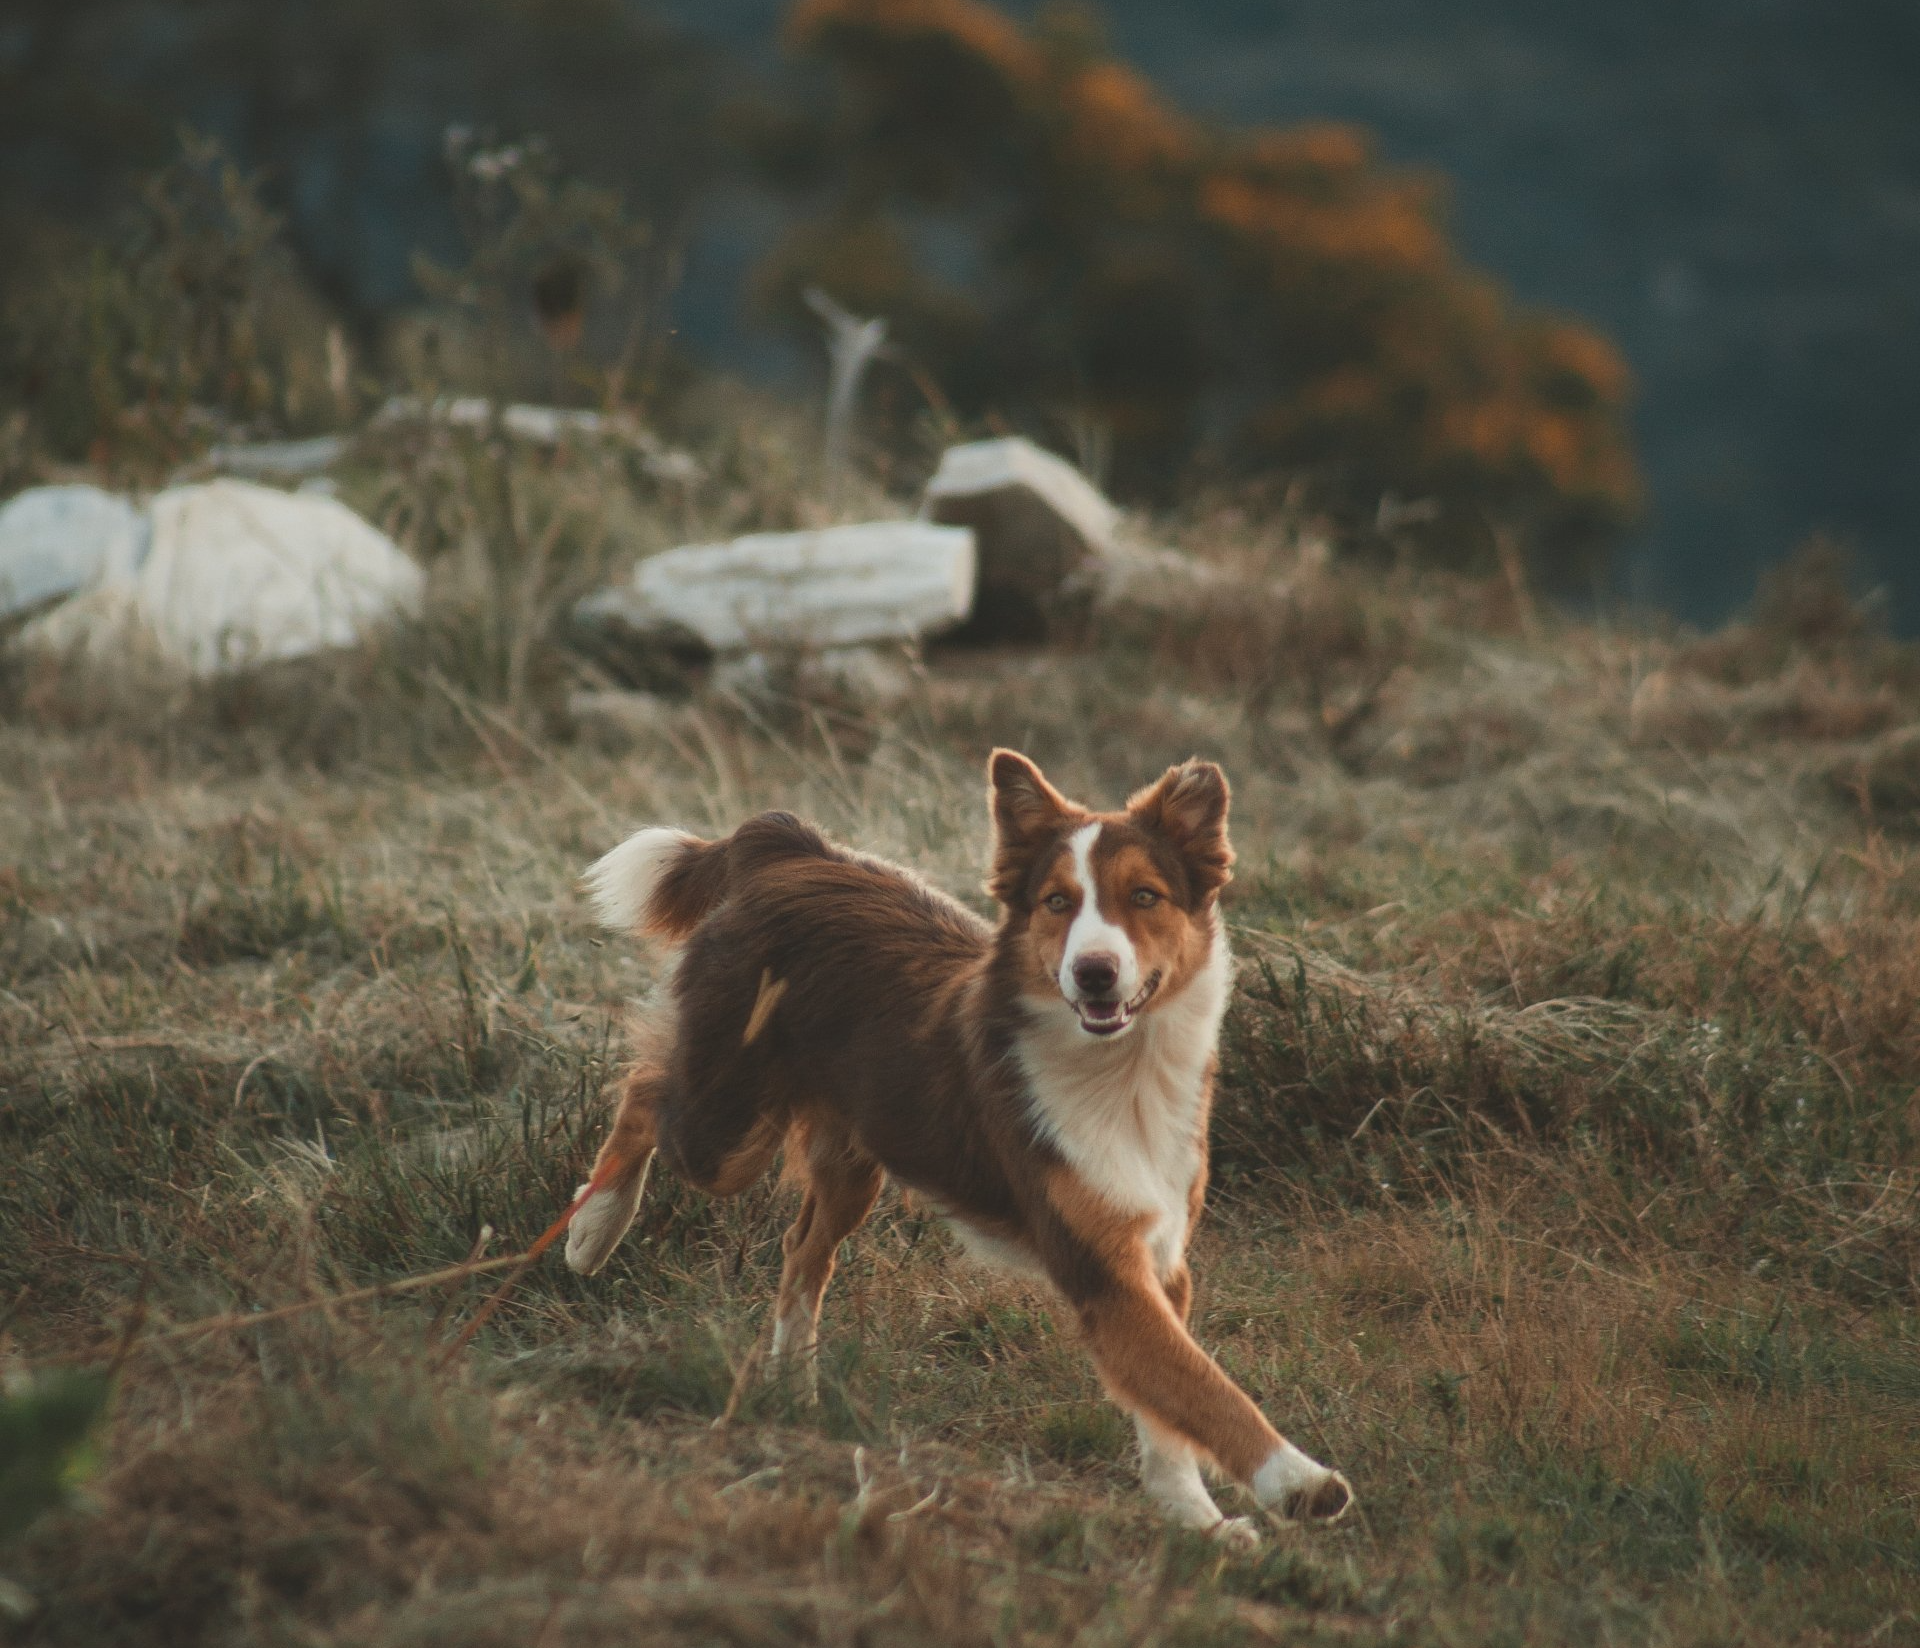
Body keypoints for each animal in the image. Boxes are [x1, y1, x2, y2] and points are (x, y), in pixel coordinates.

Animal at [564, 752, 1351, 1536]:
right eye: (1056, 902)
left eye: (1145, 896)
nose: (1093, 972)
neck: (1121, 1072)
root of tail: (789, 849)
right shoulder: (1104, 1269)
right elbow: (1205, 1388)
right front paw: (1298, 1481)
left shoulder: (1158, 1259)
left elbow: (1170, 1411)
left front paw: (1194, 1516)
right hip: (726, 1130)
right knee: (644, 1093)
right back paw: (593, 1229)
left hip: (854, 1156)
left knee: (802, 1250)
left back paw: (792, 1384)